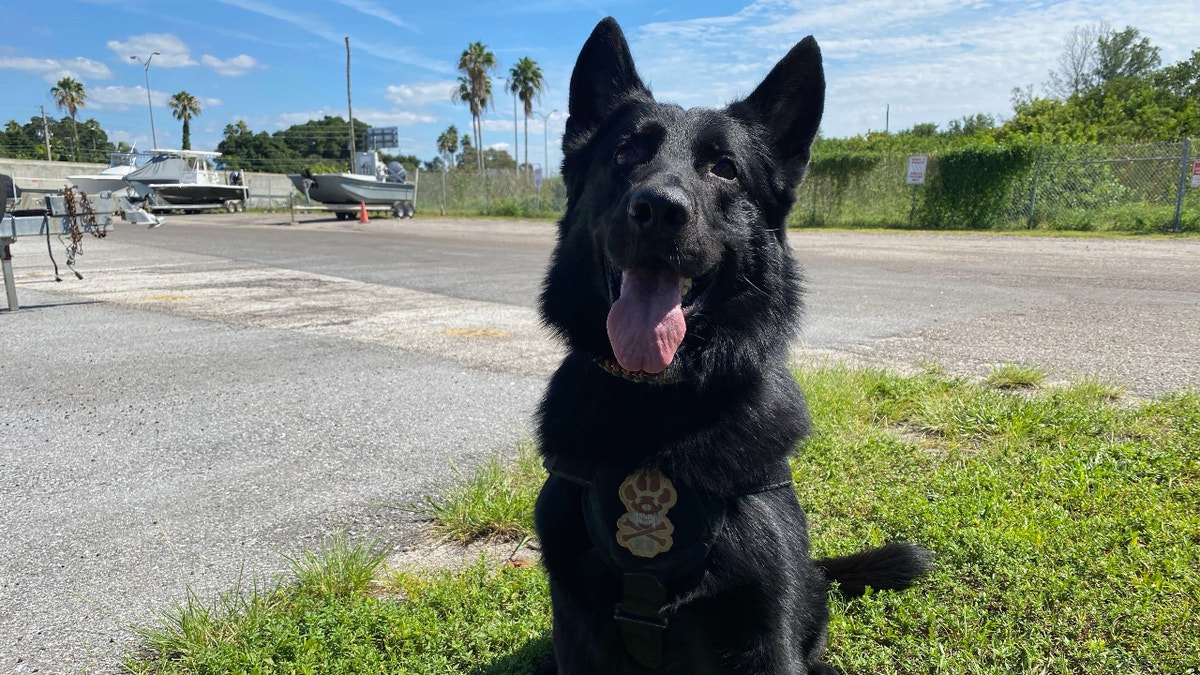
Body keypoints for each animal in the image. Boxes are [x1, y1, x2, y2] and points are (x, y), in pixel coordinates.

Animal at [535, 17, 926, 672]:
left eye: (724, 168)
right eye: (624, 154)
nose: (658, 209)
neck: (655, 411)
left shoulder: (763, 633)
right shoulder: (578, 632)